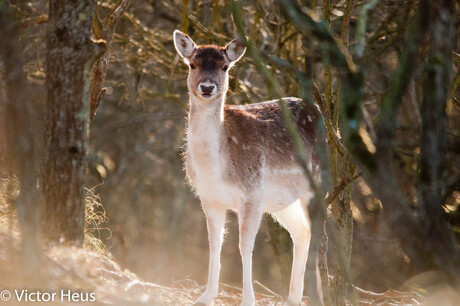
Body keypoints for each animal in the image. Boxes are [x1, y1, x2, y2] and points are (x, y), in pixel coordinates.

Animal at [172, 29, 320, 306]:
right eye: (192, 64)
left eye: (225, 66)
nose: (207, 87)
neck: (217, 171)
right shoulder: (209, 198)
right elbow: (214, 243)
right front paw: (206, 296)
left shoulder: (251, 195)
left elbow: (244, 246)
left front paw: (248, 299)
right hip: (284, 202)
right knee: (302, 232)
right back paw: (293, 299)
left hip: (316, 184)